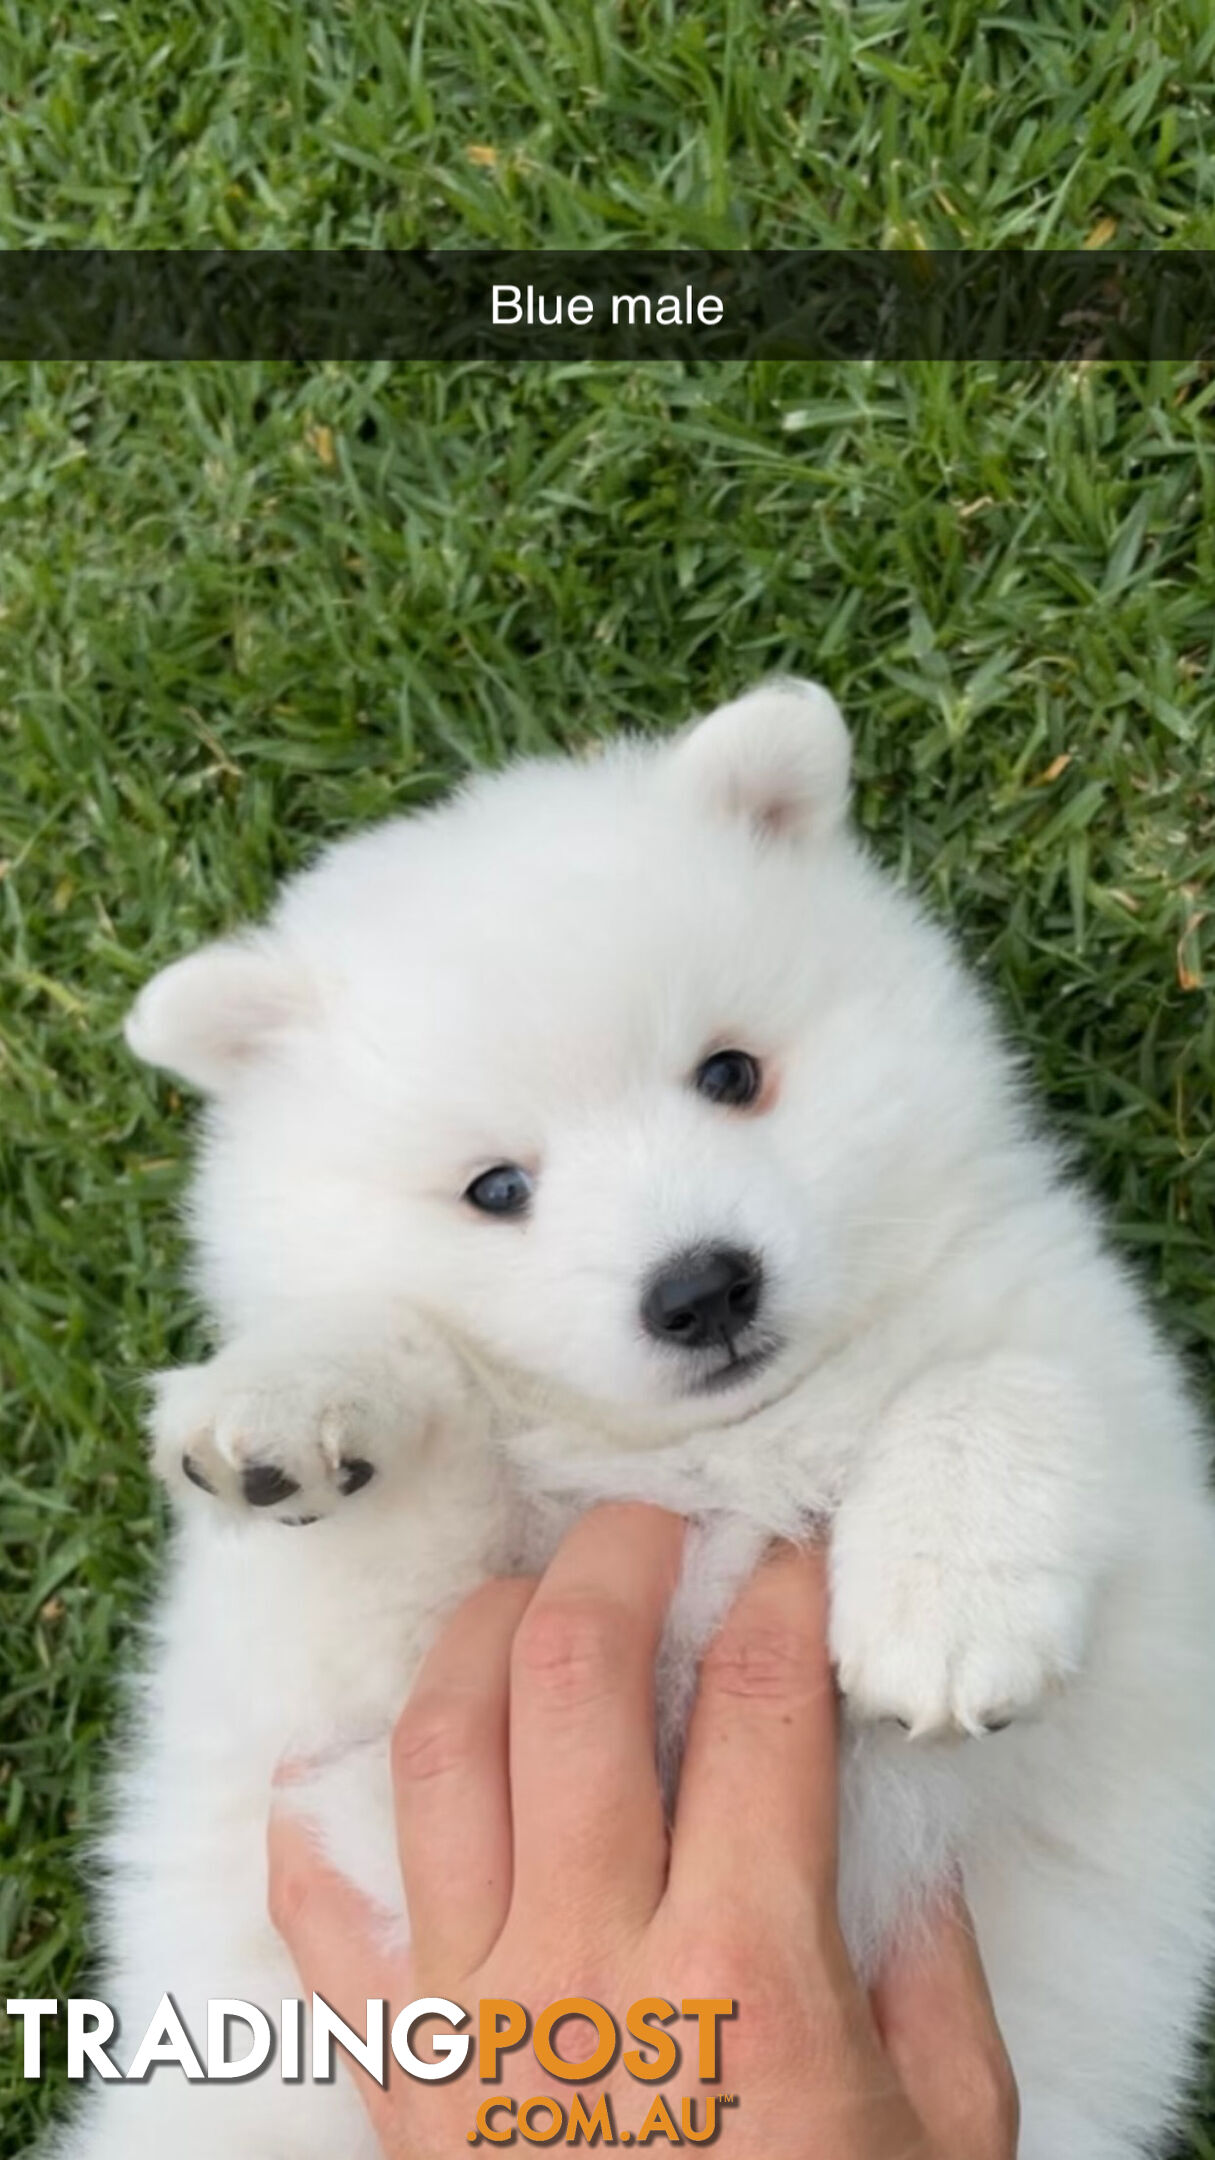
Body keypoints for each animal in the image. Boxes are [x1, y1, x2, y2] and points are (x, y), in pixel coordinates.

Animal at [51, 686, 1210, 2160]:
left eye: (729, 1074)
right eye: (496, 1188)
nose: (701, 1286)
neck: (709, 1448)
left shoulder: (1116, 1449)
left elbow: (1004, 1383)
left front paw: (942, 1600)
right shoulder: (344, 1712)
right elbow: (403, 1427)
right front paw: (296, 1391)